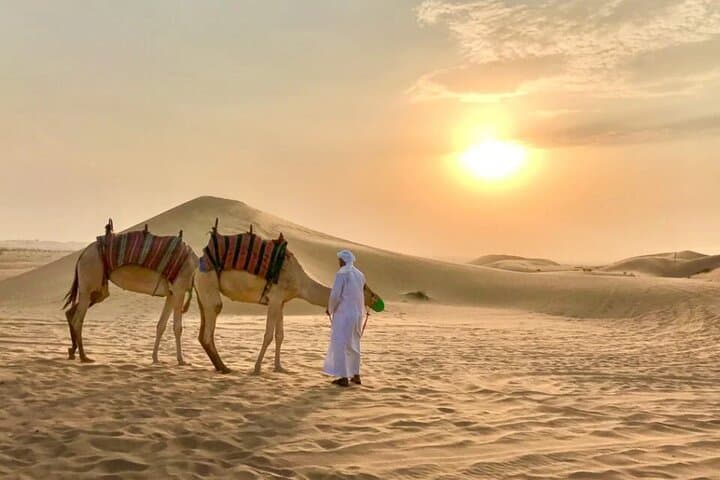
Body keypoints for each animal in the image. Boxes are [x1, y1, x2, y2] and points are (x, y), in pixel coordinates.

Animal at [62, 222, 198, 365]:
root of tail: (82, 254)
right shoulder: (179, 289)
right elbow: (178, 328)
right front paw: (181, 360)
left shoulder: (171, 293)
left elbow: (161, 325)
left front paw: (155, 358)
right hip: (89, 277)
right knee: (78, 319)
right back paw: (84, 356)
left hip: (98, 286)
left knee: (72, 311)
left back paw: (72, 351)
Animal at [194, 227, 383, 374]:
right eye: (365, 287)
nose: (378, 300)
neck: (299, 282)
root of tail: (199, 263)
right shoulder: (275, 298)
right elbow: (268, 335)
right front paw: (257, 368)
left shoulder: (282, 302)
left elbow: (280, 336)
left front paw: (279, 367)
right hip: (208, 280)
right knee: (212, 320)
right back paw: (224, 368)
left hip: (202, 291)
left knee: (203, 331)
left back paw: (220, 367)